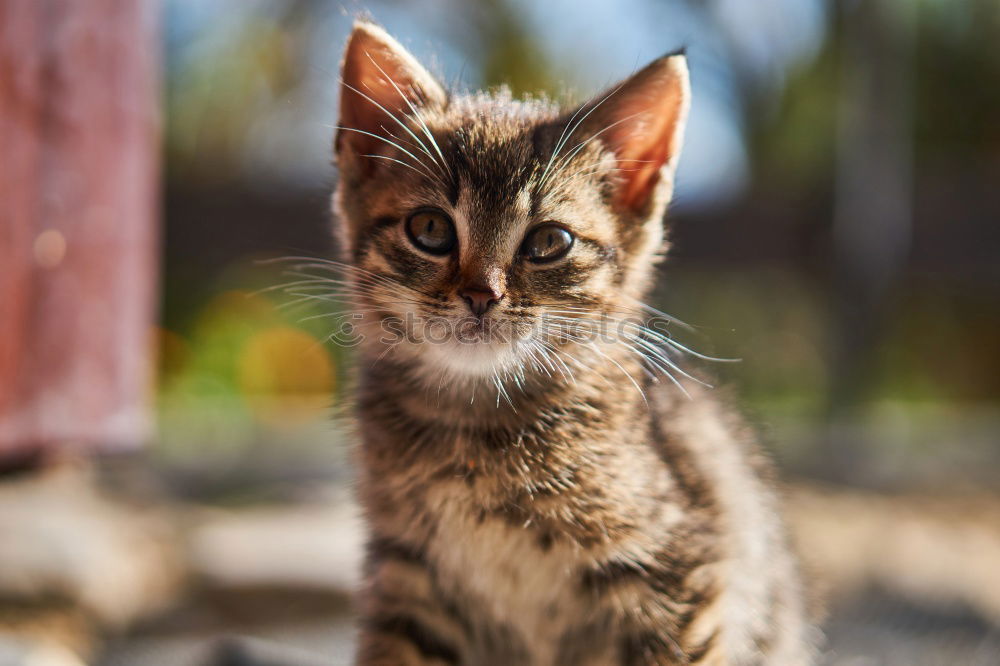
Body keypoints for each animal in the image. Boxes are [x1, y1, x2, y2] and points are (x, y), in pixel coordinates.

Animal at [332, 20, 816, 664]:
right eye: (430, 229)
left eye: (549, 242)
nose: (481, 295)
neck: (476, 425)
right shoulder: (409, 575)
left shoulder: (679, 568)